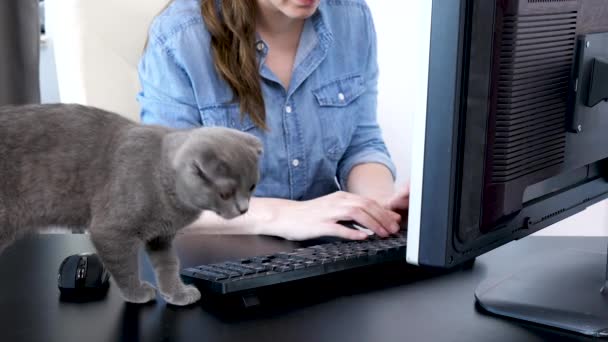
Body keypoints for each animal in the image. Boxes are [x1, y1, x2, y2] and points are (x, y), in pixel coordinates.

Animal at [0, 103, 262, 306]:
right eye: (226, 193)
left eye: (251, 187)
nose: (244, 209)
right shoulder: (111, 231)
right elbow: (125, 267)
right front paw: (137, 293)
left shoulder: (161, 237)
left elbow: (169, 264)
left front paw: (177, 293)